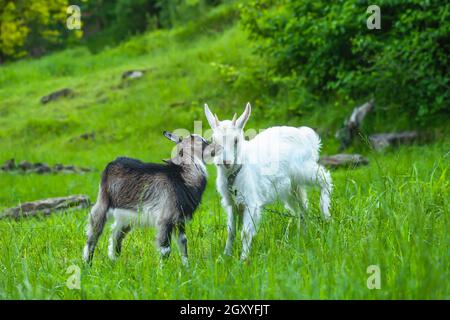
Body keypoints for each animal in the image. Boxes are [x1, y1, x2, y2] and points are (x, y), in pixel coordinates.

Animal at [82, 131, 209, 264]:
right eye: (199, 140)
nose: (211, 144)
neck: (182, 177)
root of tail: (113, 162)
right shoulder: (165, 218)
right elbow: (165, 249)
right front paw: (164, 268)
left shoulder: (180, 220)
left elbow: (183, 242)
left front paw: (187, 267)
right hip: (102, 202)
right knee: (94, 233)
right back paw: (88, 263)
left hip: (127, 216)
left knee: (116, 234)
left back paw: (115, 262)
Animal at [206, 102, 332, 260]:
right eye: (213, 140)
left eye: (236, 140)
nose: (225, 162)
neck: (235, 172)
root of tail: (306, 136)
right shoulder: (232, 204)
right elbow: (231, 232)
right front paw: (225, 256)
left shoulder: (251, 202)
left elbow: (245, 233)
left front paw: (243, 260)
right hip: (291, 187)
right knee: (302, 207)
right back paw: (303, 235)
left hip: (303, 169)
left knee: (324, 178)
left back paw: (325, 213)